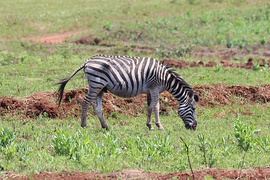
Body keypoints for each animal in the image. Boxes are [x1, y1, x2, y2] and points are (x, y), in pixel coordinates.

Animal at [57, 54, 199, 130]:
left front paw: (149, 125)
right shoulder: (154, 88)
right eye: (193, 109)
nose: (194, 127)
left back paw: (105, 126)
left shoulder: (149, 90)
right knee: (85, 102)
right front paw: (159, 126)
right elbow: (156, 107)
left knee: (97, 107)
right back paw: (84, 125)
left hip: (100, 88)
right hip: (96, 84)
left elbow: (149, 107)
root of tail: (87, 61)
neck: (165, 77)